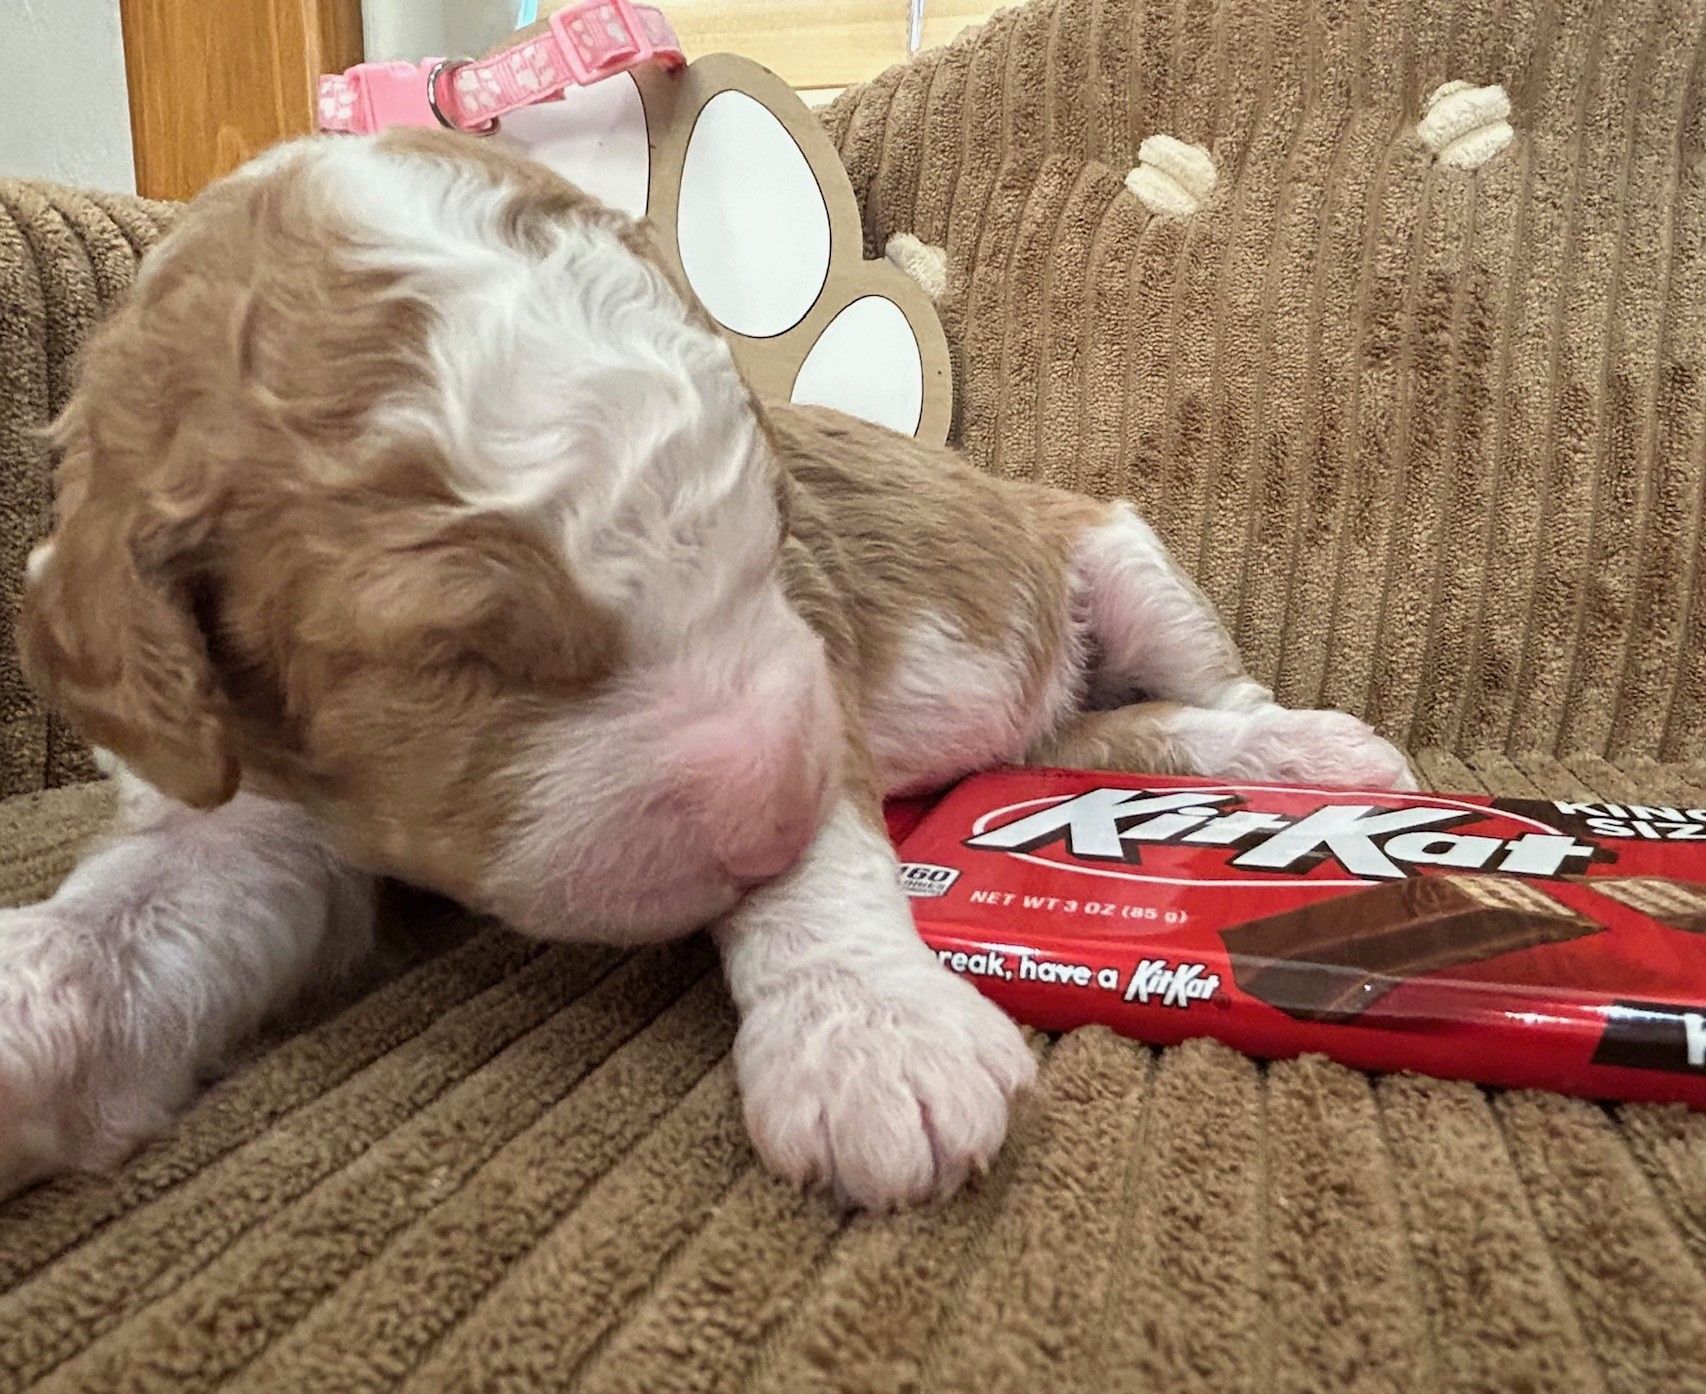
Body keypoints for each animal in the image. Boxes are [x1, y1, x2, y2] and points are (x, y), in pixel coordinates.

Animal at [1, 130, 1415, 1208]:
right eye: (460, 655)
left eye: (770, 530)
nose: (768, 799)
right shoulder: (231, 797)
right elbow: (142, 913)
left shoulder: (812, 660)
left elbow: (822, 858)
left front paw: (873, 1035)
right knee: (1089, 742)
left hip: (1115, 553)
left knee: (1203, 696)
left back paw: (1305, 752)